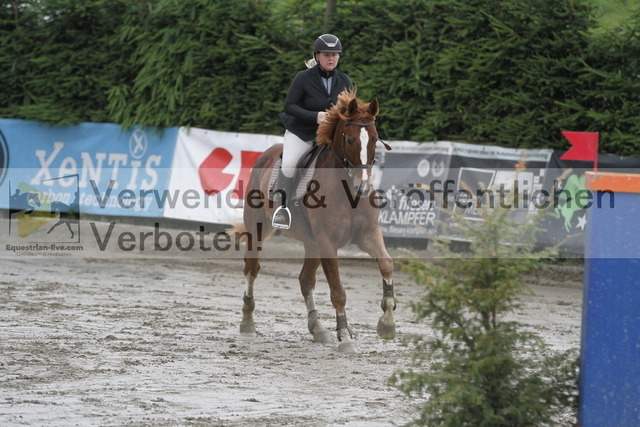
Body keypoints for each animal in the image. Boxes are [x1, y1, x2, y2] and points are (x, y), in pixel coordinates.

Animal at [235, 90, 395, 353]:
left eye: (374, 140)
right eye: (350, 140)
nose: (363, 188)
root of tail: (267, 154)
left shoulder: (367, 234)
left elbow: (386, 264)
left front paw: (387, 323)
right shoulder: (327, 242)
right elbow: (338, 290)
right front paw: (346, 337)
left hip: (311, 243)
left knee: (305, 281)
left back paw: (317, 327)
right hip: (258, 228)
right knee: (252, 268)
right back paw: (247, 321)